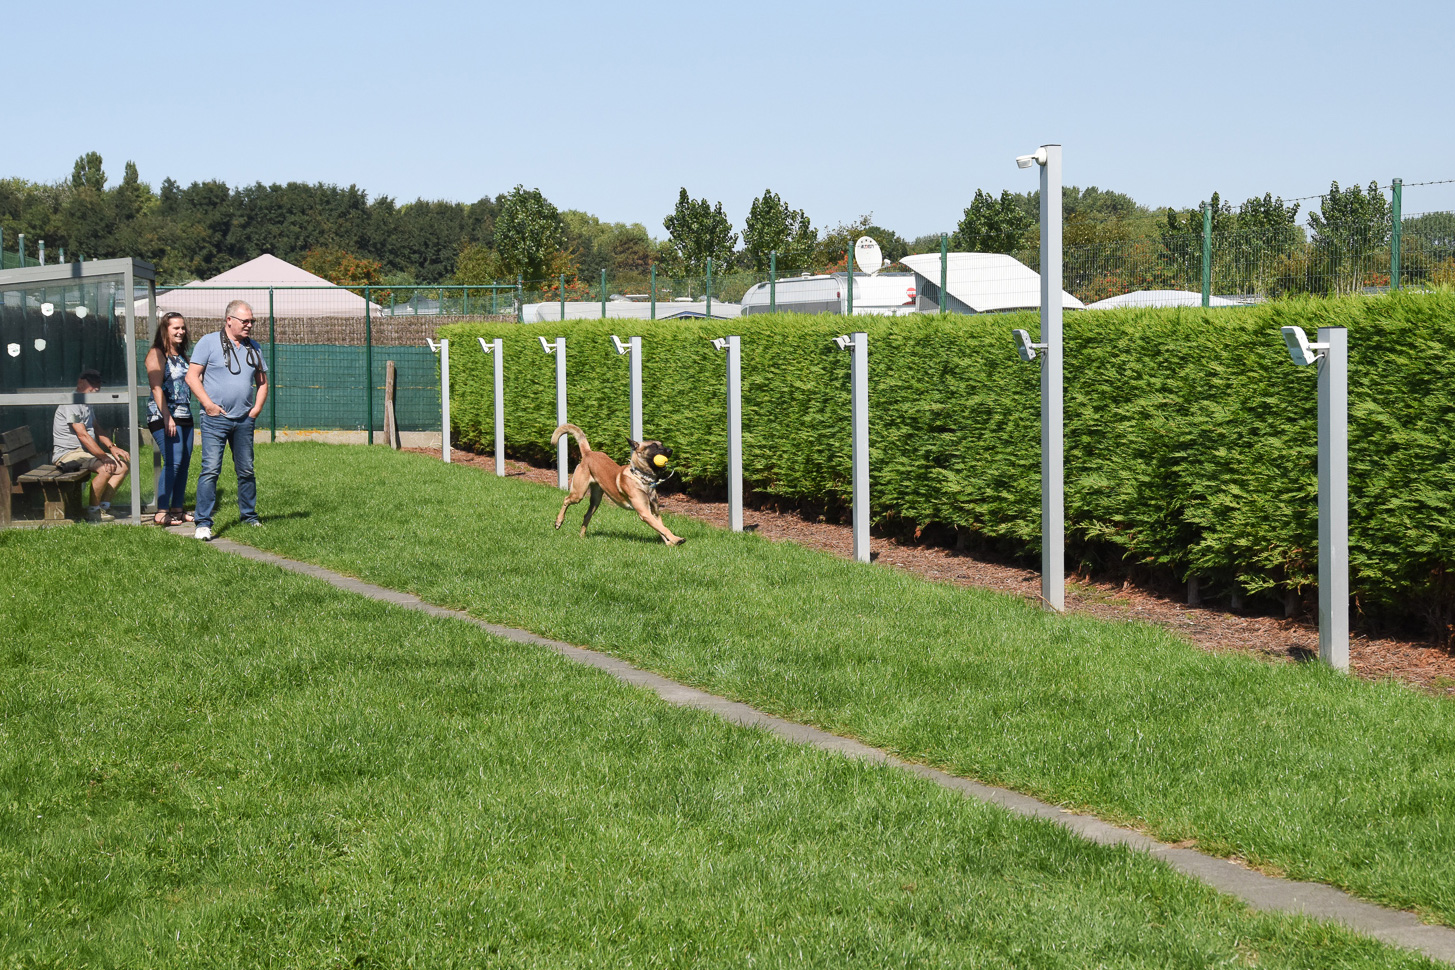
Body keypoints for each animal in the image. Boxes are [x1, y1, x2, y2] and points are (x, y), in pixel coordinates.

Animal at [547, 421, 683, 546]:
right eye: (654, 446)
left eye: (662, 444)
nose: (671, 450)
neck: (641, 478)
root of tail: (589, 452)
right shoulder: (644, 512)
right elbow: (663, 528)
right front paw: (677, 539)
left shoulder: (654, 512)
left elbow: (660, 528)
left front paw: (670, 542)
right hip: (578, 493)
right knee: (566, 499)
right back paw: (559, 521)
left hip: (596, 499)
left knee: (586, 515)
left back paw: (581, 537)